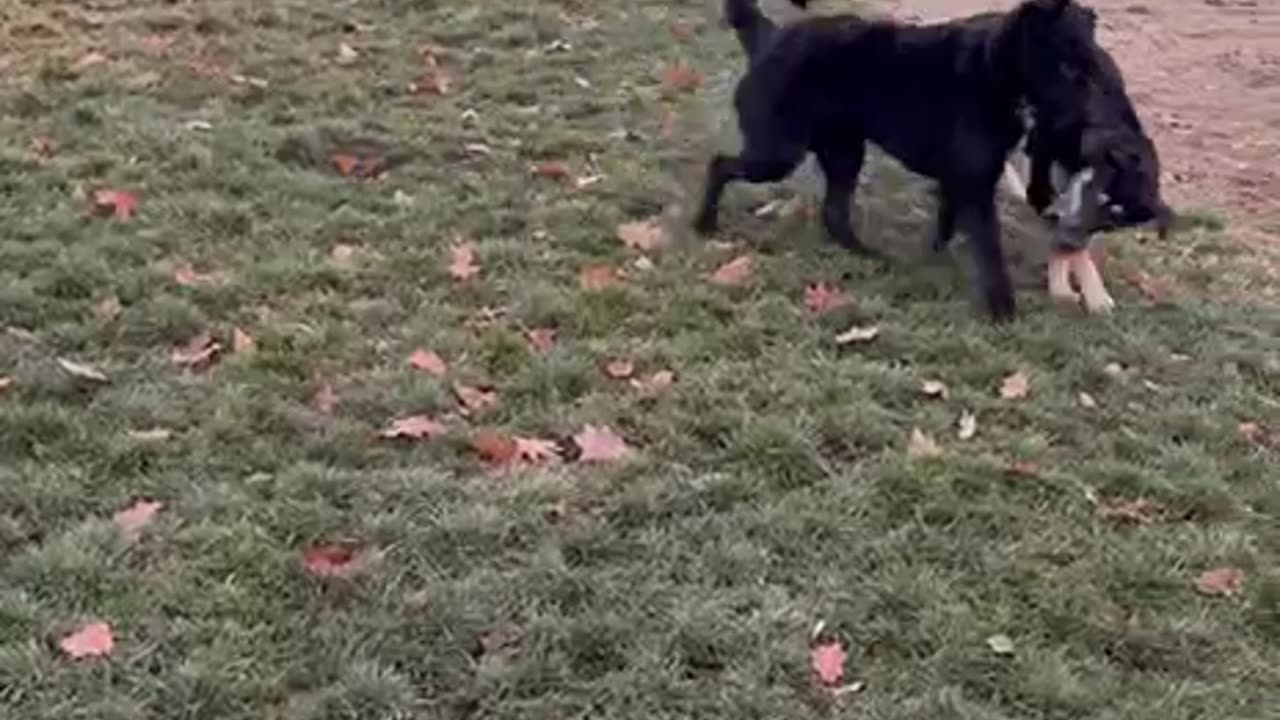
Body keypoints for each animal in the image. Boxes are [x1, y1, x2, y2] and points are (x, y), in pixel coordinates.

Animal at [701, 0, 1100, 319]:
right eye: (1068, 67)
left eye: (1092, 64)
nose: (1093, 117)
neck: (996, 65)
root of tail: (768, 38)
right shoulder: (975, 184)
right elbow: (990, 250)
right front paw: (1002, 309)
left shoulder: (960, 180)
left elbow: (945, 227)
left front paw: (933, 262)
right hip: (778, 153)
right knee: (720, 164)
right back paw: (704, 224)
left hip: (843, 153)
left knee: (834, 213)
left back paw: (869, 257)